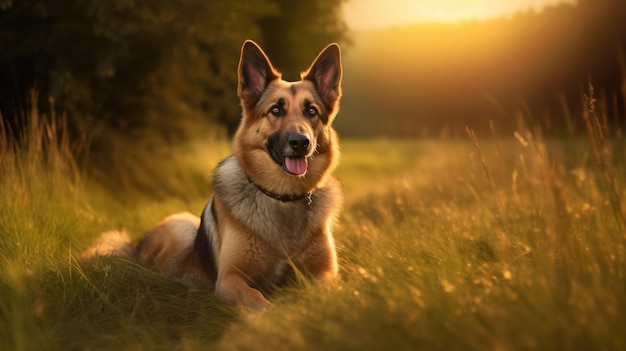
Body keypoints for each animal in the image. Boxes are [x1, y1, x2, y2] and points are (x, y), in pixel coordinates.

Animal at [83, 40, 342, 310]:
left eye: (311, 111)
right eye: (276, 110)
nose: (301, 142)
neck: (283, 198)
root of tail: (135, 244)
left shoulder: (326, 274)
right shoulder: (230, 279)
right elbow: (260, 301)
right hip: (182, 229)